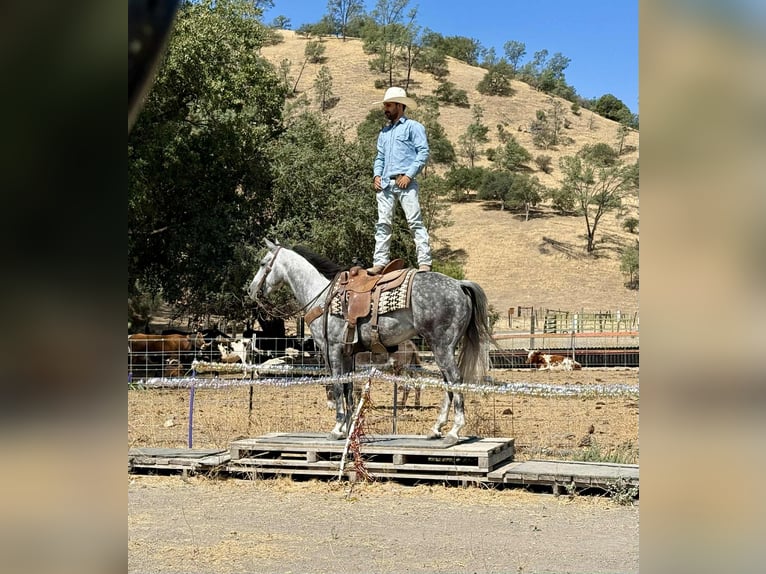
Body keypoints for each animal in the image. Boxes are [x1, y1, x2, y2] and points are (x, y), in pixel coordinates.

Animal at [246, 239, 494, 446]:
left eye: (262, 263)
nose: (250, 289)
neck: (322, 296)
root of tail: (459, 284)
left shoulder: (331, 350)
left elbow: (337, 385)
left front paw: (337, 428)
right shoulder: (347, 354)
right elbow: (348, 388)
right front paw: (347, 428)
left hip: (442, 346)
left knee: (455, 379)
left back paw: (454, 432)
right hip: (442, 347)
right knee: (447, 383)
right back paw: (436, 429)